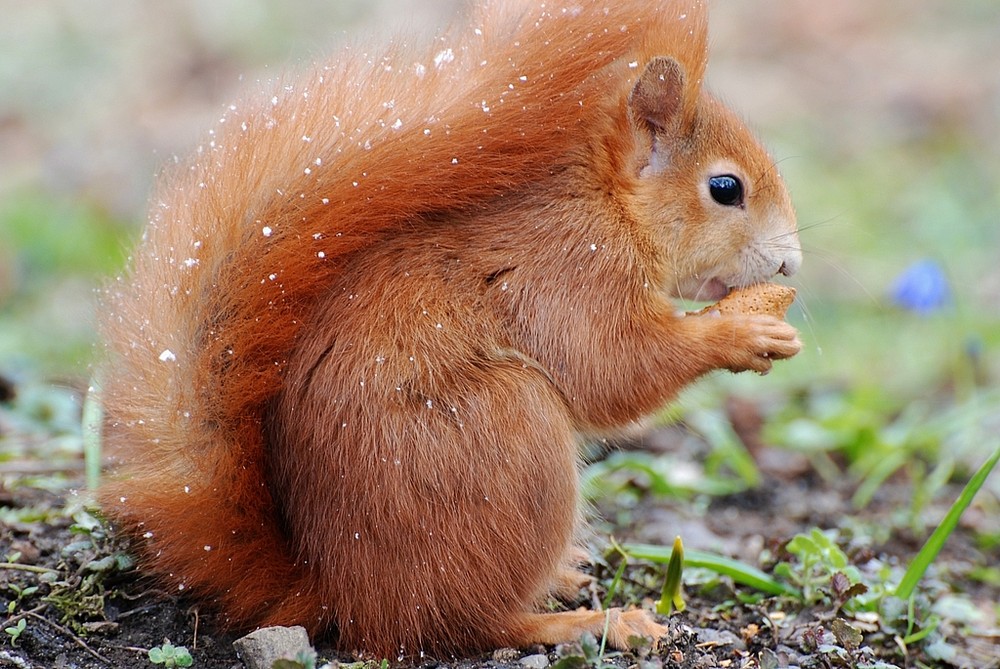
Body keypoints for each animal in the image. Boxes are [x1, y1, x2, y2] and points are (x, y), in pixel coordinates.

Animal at [99, 0, 804, 656]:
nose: (791, 264)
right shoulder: (569, 276)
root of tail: (338, 593)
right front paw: (741, 333)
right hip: (509, 434)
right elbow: (613, 369)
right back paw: (588, 622)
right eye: (725, 188)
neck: (609, 208)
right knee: (466, 623)